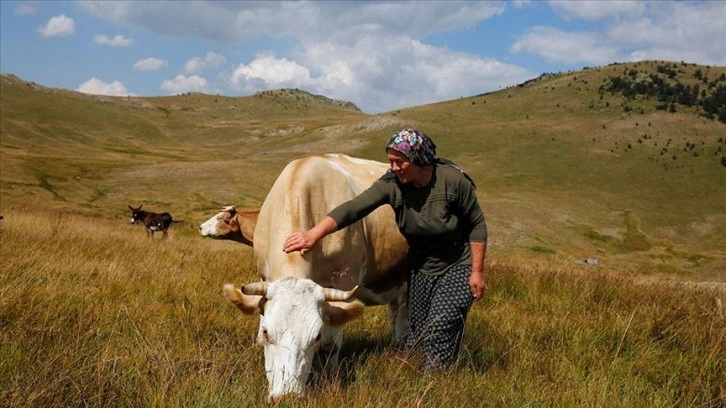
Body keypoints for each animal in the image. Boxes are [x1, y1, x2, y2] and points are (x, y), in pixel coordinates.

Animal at [219, 152, 410, 398]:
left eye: (315, 336)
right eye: (266, 332)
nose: (287, 396)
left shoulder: (343, 282)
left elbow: (331, 344)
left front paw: (331, 377)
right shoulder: (264, 278)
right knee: (396, 309)